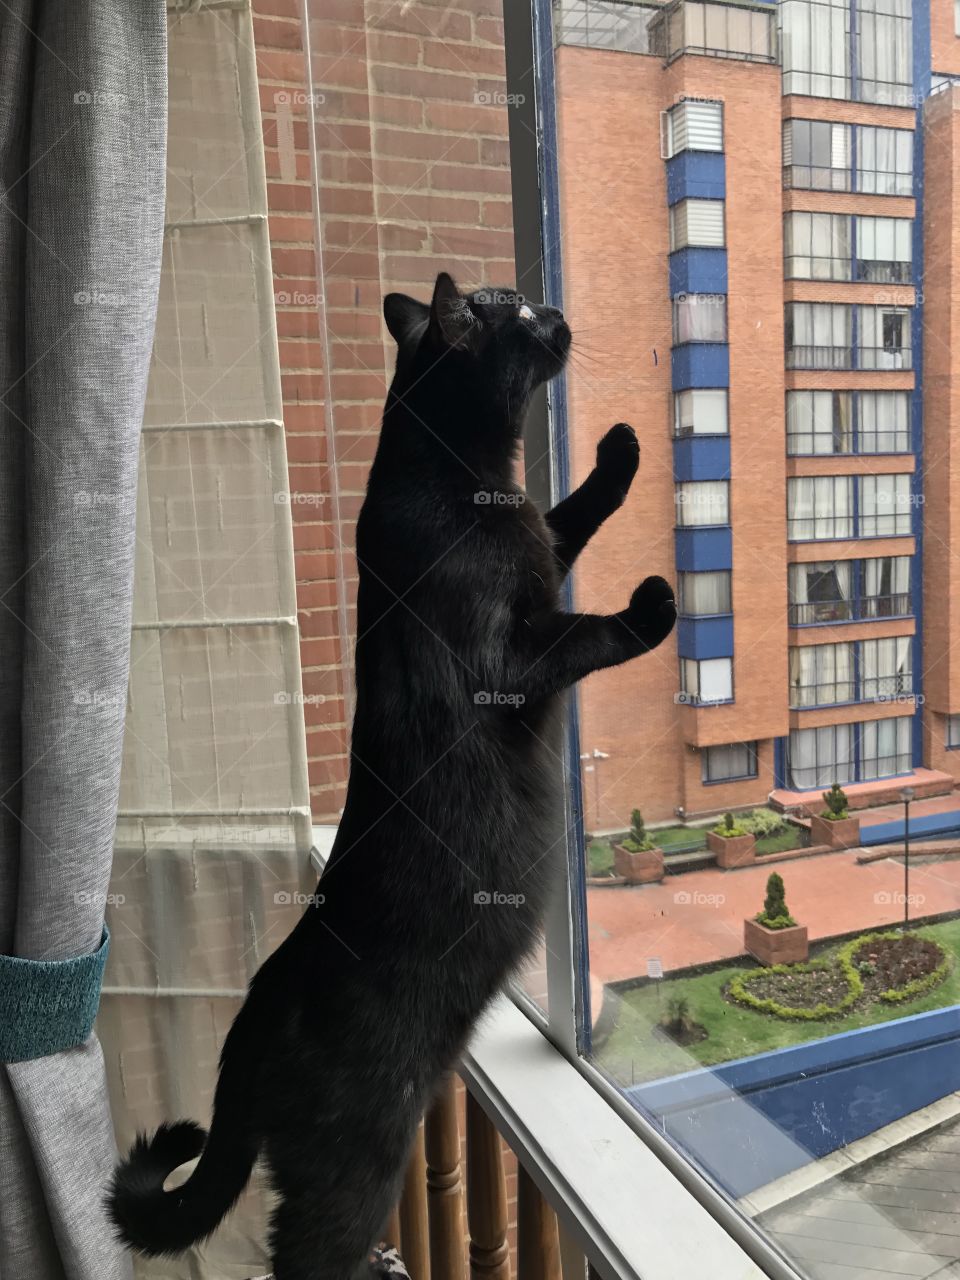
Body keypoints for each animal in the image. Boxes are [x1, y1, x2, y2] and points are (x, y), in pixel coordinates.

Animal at [108, 272, 675, 1280]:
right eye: (514, 310)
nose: (555, 312)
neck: (463, 482)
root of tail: (255, 1014)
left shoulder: (541, 547)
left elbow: (566, 517)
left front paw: (617, 452)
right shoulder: (510, 659)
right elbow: (586, 633)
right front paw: (650, 606)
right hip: (358, 1156)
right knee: (298, 1253)